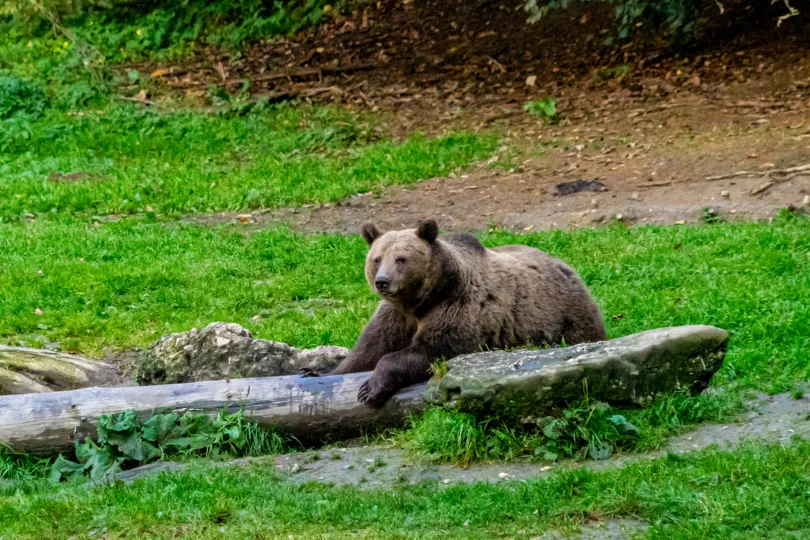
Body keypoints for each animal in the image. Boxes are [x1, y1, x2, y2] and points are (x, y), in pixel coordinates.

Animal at [300, 217, 604, 408]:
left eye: (401, 259)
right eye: (377, 259)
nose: (382, 282)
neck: (420, 301)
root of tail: (568, 268)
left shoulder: (457, 308)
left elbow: (433, 350)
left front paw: (371, 388)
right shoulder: (395, 315)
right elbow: (367, 351)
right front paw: (313, 371)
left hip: (566, 320)